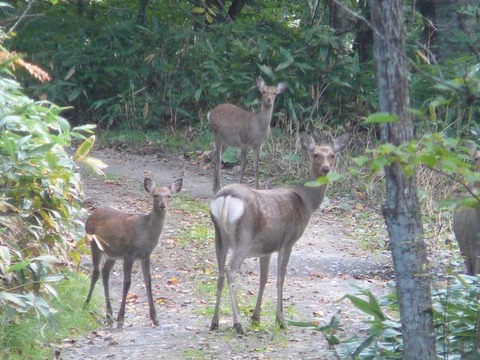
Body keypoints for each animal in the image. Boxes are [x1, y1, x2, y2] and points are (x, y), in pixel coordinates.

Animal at [82, 177, 182, 330]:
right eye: (155, 195)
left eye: (169, 195)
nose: (163, 206)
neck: (146, 234)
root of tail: (91, 215)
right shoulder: (129, 252)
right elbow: (127, 282)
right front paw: (121, 320)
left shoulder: (145, 255)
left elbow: (148, 281)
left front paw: (155, 319)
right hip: (94, 242)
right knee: (96, 272)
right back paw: (86, 305)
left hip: (112, 253)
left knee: (105, 272)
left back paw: (109, 316)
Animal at [208, 133, 346, 334]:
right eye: (316, 155)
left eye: (332, 155)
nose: (326, 168)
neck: (305, 202)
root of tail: (226, 199)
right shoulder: (288, 241)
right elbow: (280, 277)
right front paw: (280, 320)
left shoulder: (265, 248)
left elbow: (264, 278)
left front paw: (256, 317)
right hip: (243, 237)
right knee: (230, 269)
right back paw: (238, 324)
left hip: (219, 235)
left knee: (219, 272)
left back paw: (215, 321)